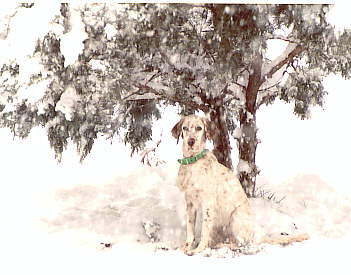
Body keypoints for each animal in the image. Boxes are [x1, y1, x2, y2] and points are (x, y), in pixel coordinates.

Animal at [171, 114, 256, 254]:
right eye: (185, 128)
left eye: (199, 128)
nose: (191, 141)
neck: (192, 163)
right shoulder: (189, 204)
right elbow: (190, 230)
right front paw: (187, 247)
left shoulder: (208, 203)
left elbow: (204, 231)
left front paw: (198, 250)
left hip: (236, 215)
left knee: (241, 243)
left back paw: (223, 246)